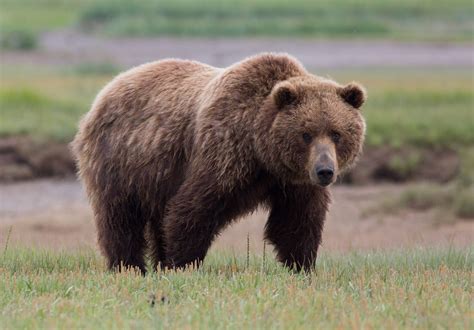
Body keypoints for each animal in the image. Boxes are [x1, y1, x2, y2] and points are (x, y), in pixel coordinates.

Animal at [72, 52, 366, 274]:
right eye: (306, 134)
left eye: (336, 133)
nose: (325, 171)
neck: (262, 152)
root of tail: (107, 89)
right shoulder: (224, 151)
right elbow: (192, 209)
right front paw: (181, 264)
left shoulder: (294, 180)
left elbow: (297, 222)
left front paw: (301, 266)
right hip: (122, 162)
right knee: (120, 217)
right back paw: (128, 266)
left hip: (157, 176)